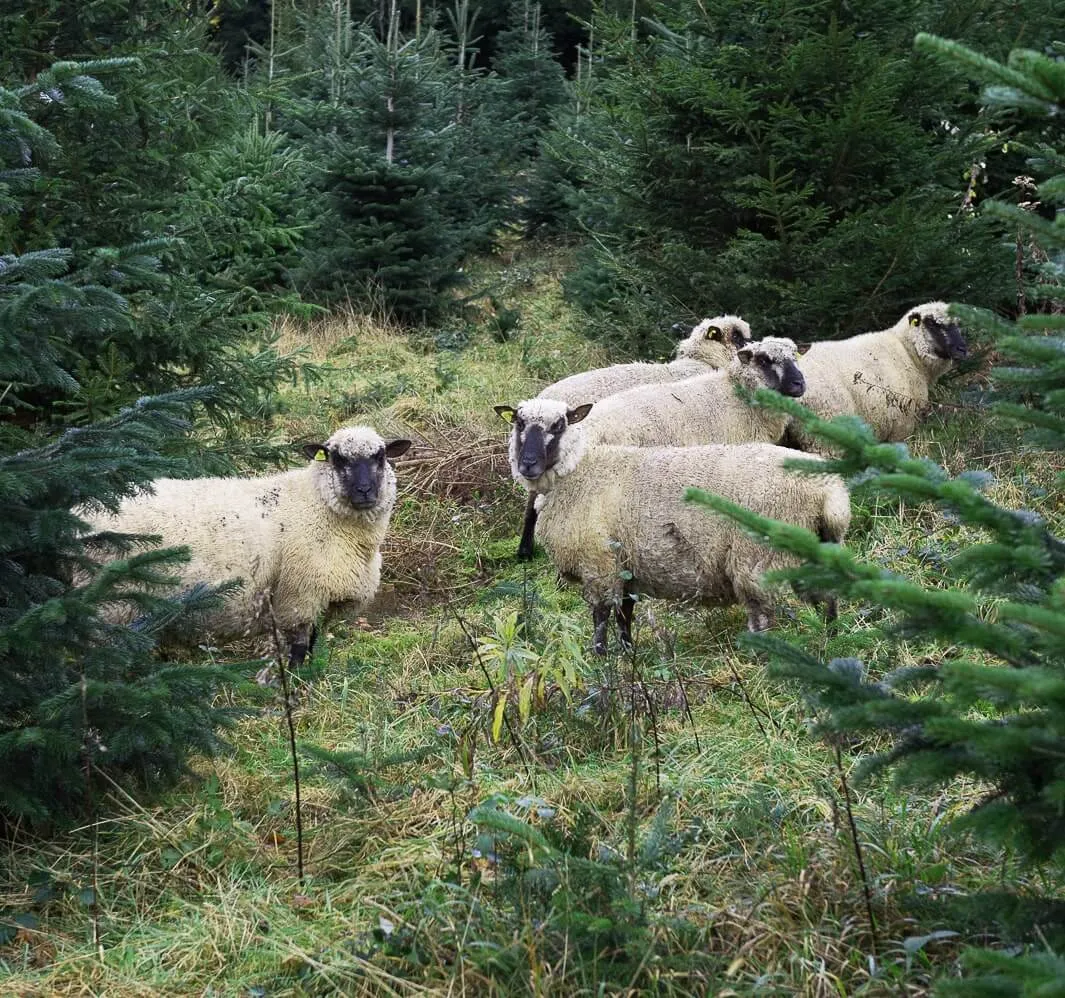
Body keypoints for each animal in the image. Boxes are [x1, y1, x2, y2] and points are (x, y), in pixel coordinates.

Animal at [80, 426, 412, 666]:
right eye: (337, 458)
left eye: (381, 456)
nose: (365, 491)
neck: (317, 504)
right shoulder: (299, 595)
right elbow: (299, 649)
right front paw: (298, 684)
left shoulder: (316, 598)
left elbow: (313, 643)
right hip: (109, 606)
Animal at [493, 396, 850, 653]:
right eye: (519, 423)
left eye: (559, 425)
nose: (528, 464)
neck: (581, 471)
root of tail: (829, 494)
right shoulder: (628, 565)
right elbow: (625, 615)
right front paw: (628, 653)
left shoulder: (599, 563)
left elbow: (601, 617)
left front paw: (601, 659)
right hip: (817, 548)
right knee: (829, 597)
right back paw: (830, 640)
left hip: (754, 557)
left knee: (762, 615)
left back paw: (762, 655)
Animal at [785, 301, 969, 452]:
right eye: (932, 324)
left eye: (957, 324)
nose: (962, 349)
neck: (908, 352)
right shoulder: (901, 427)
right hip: (825, 431)